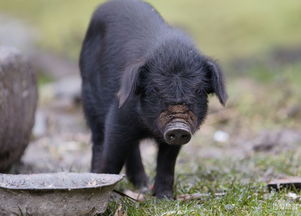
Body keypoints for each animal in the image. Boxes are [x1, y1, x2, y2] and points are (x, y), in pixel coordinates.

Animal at [78, 0, 226, 199]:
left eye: (199, 90)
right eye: (155, 90)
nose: (178, 126)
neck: (148, 128)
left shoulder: (175, 139)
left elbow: (167, 162)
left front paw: (165, 198)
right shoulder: (118, 116)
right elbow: (113, 155)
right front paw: (108, 191)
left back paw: (142, 185)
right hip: (89, 97)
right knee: (99, 140)